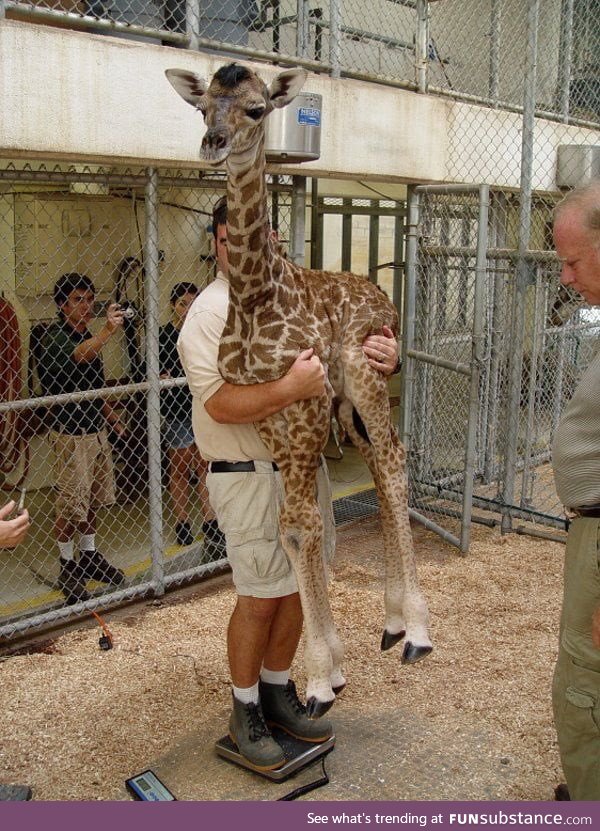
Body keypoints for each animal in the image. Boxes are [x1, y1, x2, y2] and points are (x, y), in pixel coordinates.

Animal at [166, 61, 434, 720]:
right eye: (202, 107)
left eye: (256, 108)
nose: (213, 143)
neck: (255, 298)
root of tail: (383, 297)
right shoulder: (272, 416)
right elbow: (292, 526)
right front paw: (329, 669)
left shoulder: (306, 403)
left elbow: (305, 523)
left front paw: (315, 681)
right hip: (349, 411)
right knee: (380, 468)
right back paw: (393, 622)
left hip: (363, 376)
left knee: (395, 465)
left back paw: (417, 631)